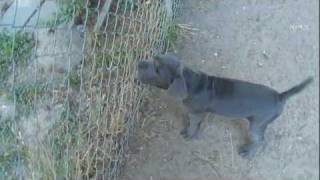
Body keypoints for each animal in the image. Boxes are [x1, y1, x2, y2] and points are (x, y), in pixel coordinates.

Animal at [137, 52, 312, 157]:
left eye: (157, 70)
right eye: (154, 58)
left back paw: (247, 153)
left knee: (260, 140)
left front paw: (189, 134)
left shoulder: (196, 112)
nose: (139, 63)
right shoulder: (196, 112)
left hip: (258, 123)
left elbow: (193, 124)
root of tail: (280, 96)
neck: (191, 81)